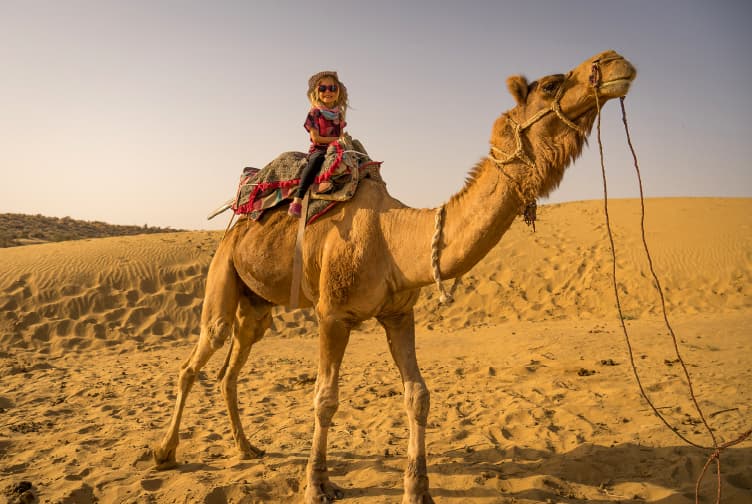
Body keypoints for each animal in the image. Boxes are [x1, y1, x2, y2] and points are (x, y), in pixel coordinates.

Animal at [154, 50, 636, 503]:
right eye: (552, 84)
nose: (614, 61)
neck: (396, 240)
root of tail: (236, 223)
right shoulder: (332, 315)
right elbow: (325, 399)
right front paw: (316, 485)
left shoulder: (399, 315)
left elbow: (418, 395)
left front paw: (417, 489)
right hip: (222, 273)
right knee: (197, 358)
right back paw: (164, 452)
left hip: (256, 306)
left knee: (231, 366)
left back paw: (246, 448)